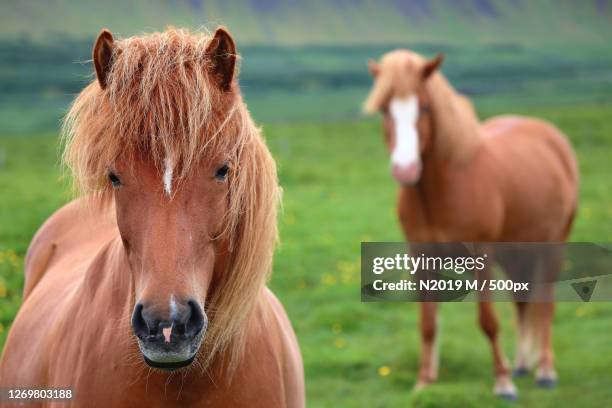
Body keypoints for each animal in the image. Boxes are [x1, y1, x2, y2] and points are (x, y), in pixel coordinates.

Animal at [364, 49, 580, 400]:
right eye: (385, 109)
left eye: (424, 106)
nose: (405, 170)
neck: (445, 188)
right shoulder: (421, 255)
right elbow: (428, 324)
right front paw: (423, 382)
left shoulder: (483, 255)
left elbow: (488, 321)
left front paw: (503, 383)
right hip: (515, 250)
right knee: (523, 300)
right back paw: (523, 364)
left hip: (553, 242)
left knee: (544, 304)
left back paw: (545, 371)